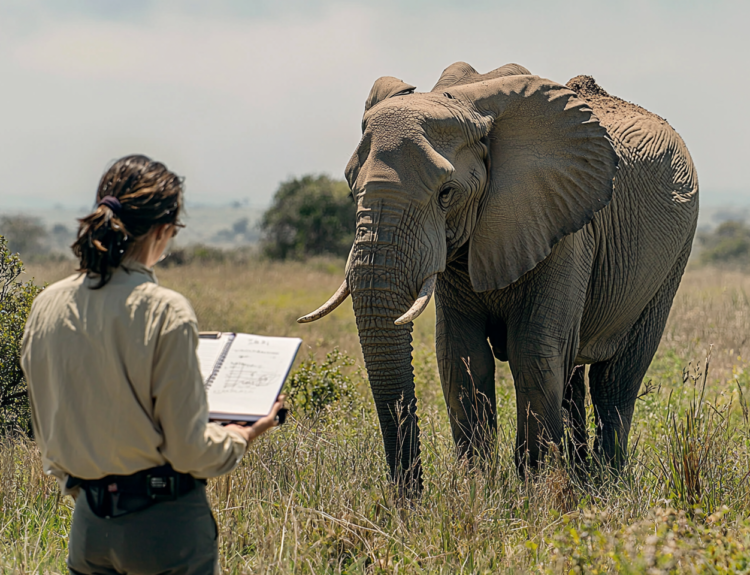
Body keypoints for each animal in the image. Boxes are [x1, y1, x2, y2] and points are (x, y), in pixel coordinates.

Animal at [300, 62, 700, 490]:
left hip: (674, 254)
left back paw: (604, 482)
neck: (471, 106)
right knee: (573, 376)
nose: (410, 496)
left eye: (446, 193)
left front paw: (535, 490)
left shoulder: (565, 227)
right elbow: (460, 354)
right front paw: (476, 487)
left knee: (615, 378)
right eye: (350, 189)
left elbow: (533, 351)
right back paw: (580, 478)